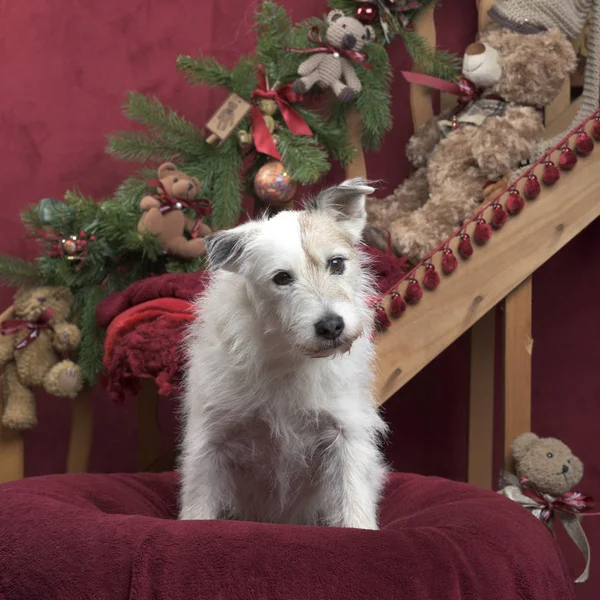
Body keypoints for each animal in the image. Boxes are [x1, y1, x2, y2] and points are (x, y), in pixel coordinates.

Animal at [178, 178, 386, 528]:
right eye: (282, 278)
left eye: (336, 264)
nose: (331, 325)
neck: (289, 355)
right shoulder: (210, 442)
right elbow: (198, 506)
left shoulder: (347, 436)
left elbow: (354, 503)